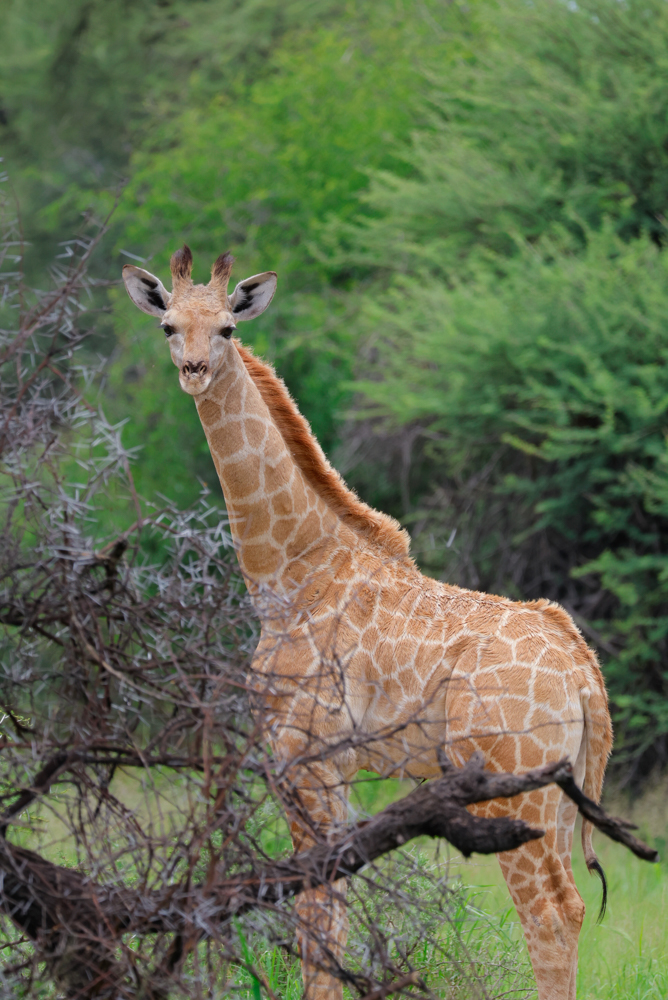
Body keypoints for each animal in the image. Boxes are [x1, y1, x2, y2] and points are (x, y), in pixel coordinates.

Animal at [123, 246, 613, 1000]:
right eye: (168, 326)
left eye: (229, 329)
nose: (195, 371)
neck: (287, 572)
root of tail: (585, 674)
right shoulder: (332, 767)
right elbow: (332, 908)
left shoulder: (305, 757)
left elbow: (318, 915)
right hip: (561, 795)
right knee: (574, 907)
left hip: (515, 785)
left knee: (550, 912)